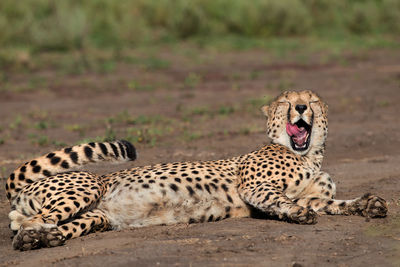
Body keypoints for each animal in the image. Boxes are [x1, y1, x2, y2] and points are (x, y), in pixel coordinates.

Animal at [5, 90, 388, 251]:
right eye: (285, 101)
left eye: (312, 99)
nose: (301, 107)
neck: (308, 156)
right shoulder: (253, 186)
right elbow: (283, 200)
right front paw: (296, 213)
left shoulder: (317, 194)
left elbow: (332, 203)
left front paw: (368, 204)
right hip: (85, 187)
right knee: (24, 221)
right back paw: (31, 237)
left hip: (96, 216)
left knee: (48, 224)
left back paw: (43, 240)